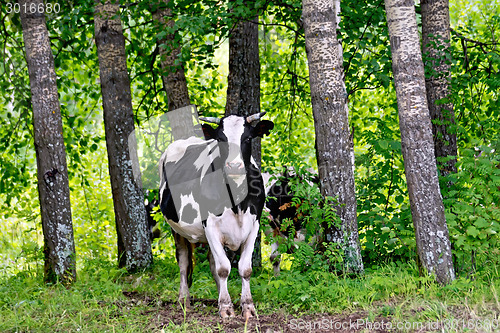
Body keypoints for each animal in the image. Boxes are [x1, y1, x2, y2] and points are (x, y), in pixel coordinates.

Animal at [158, 112, 274, 320]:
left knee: (212, 263)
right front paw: (226, 307)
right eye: (221, 139)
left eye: (247, 138)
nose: (234, 165)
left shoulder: (254, 225)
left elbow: (244, 268)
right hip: (176, 228)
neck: (237, 203)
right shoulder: (210, 225)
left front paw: (247, 306)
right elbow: (223, 268)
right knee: (184, 262)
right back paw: (184, 299)